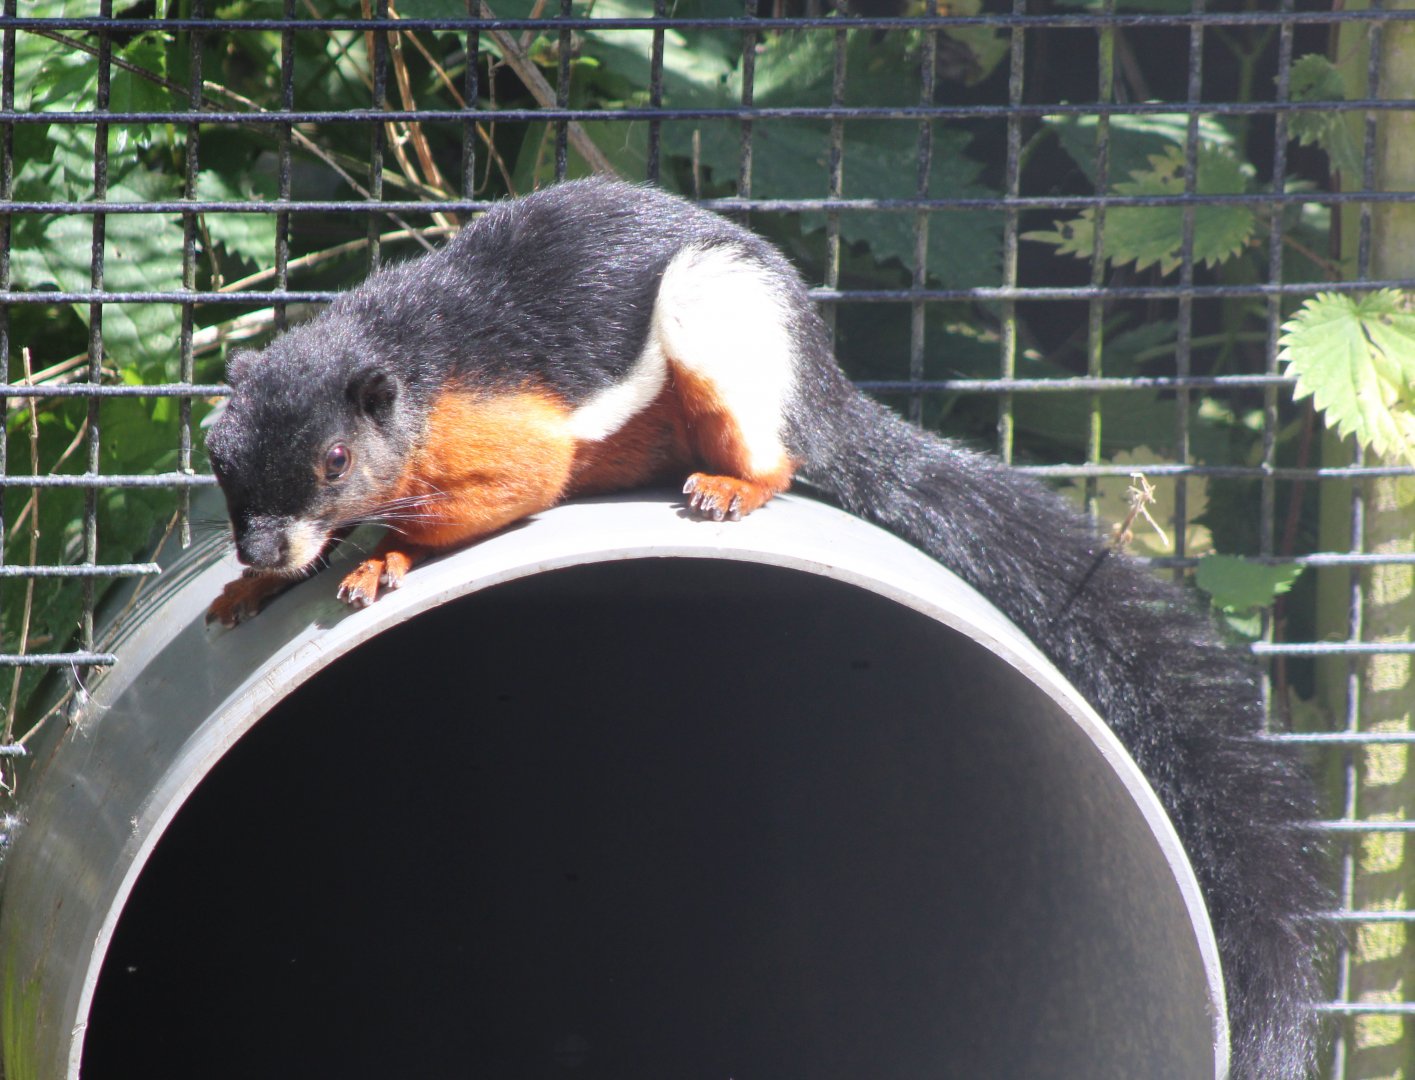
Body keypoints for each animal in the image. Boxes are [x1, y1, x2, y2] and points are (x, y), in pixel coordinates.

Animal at [204, 176, 1328, 1078]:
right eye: (217, 458)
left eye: (335, 461)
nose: (262, 544)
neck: (405, 358)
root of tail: (820, 383)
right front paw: (252, 588)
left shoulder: (505, 432)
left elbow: (496, 493)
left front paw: (380, 557)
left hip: (718, 324)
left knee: (775, 456)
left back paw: (734, 486)